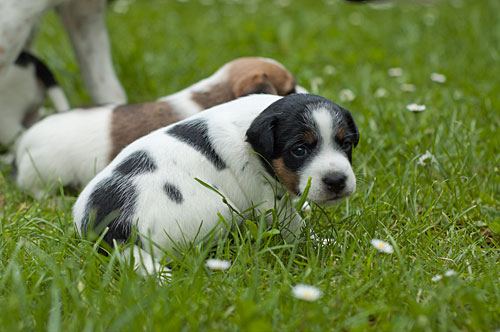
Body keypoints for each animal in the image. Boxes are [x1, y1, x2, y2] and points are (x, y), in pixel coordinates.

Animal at [71, 94, 360, 278]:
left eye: (346, 144)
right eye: (299, 150)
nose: (337, 181)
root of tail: (115, 232)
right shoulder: (269, 201)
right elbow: (295, 226)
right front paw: (322, 243)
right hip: (219, 210)